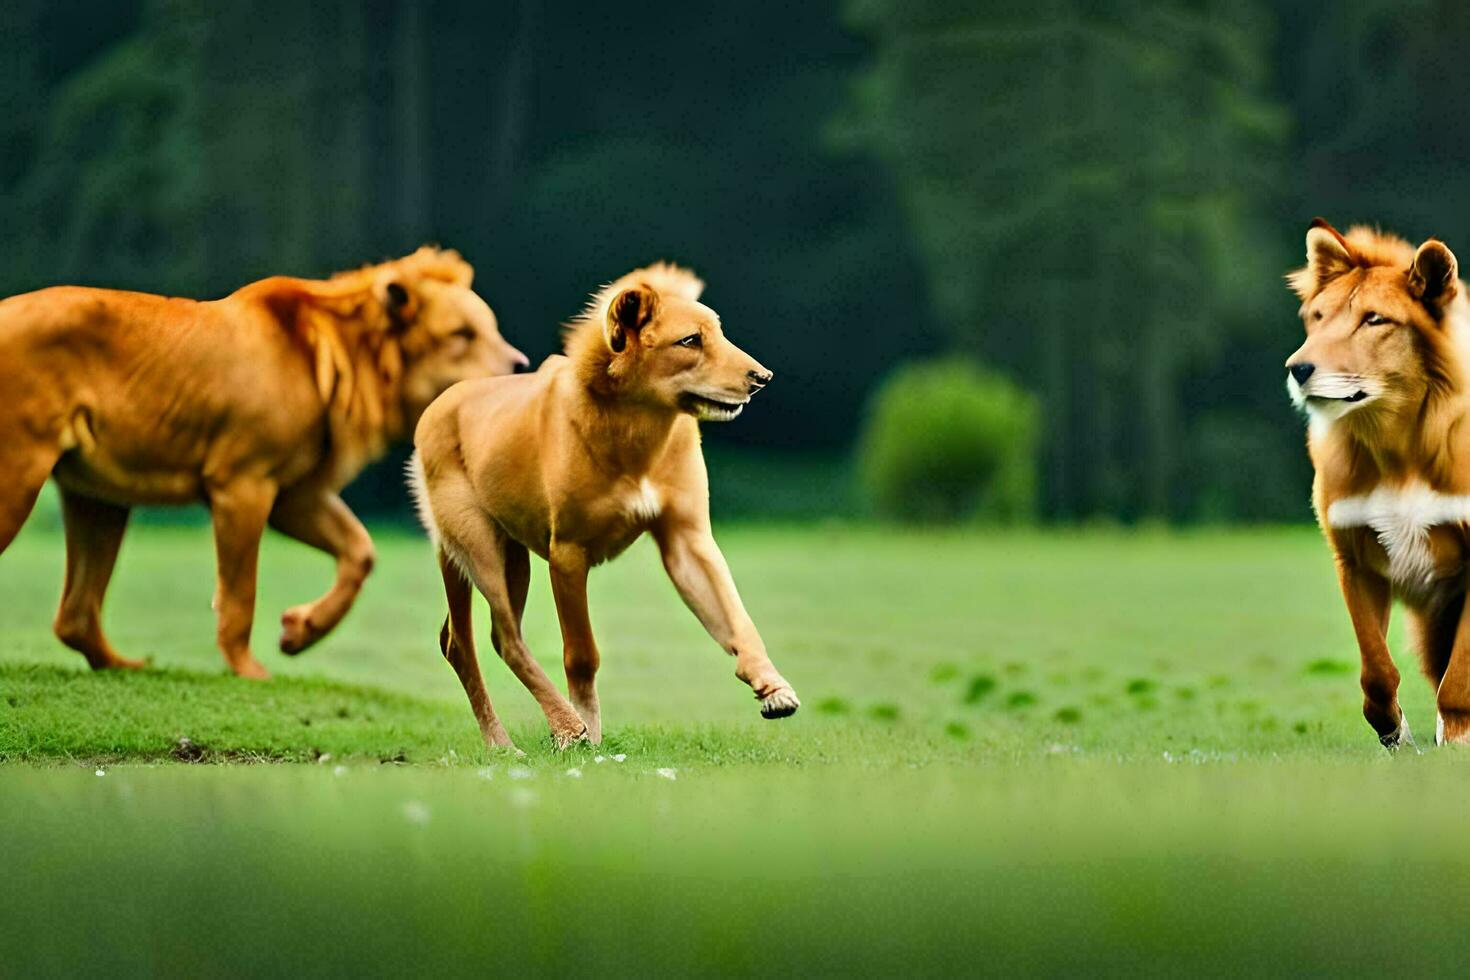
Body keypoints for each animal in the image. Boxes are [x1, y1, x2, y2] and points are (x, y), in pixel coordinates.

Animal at [0, 245, 529, 678]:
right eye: (462, 334)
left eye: (491, 329)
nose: (521, 366)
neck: (342, 362)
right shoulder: (242, 483)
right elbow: (240, 595)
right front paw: (249, 671)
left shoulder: (294, 494)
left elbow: (360, 551)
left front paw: (300, 631)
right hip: (20, 476)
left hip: (99, 496)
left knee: (75, 616)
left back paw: (123, 666)